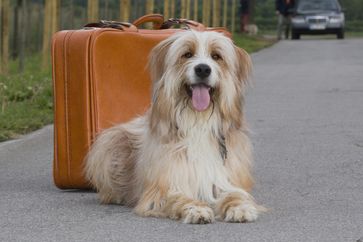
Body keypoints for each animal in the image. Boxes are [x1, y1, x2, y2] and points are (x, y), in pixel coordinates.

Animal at [86, 30, 266, 225]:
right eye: (187, 54)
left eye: (216, 56)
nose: (203, 69)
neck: (198, 121)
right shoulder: (163, 187)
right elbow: (179, 197)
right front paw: (196, 209)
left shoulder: (224, 179)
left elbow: (235, 194)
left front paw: (240, 207)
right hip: (111, 142)